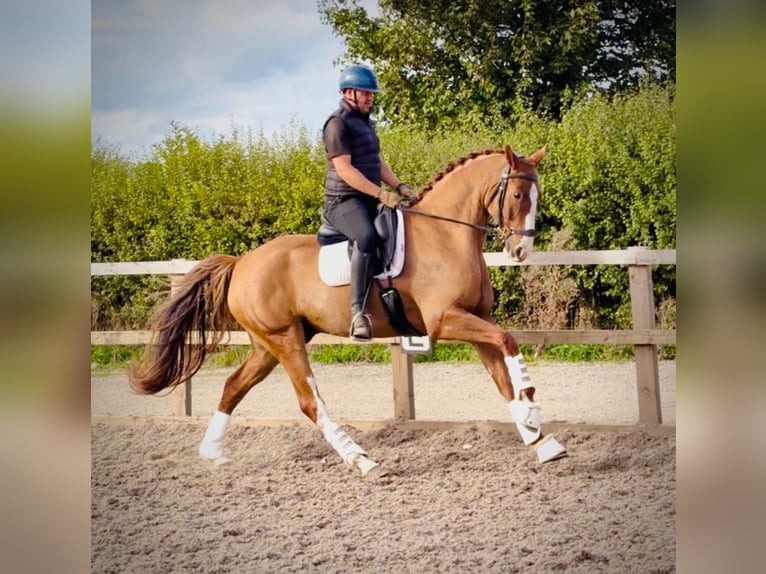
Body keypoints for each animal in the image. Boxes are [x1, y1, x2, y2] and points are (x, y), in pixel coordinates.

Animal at [128, 144, 567, 477]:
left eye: (537, 196)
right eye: (517, 196)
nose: (520, 251)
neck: (445, 233)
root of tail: (242, 263)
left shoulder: (478, 320)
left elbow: (502, 375)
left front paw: (540, 439)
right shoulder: (446, 321)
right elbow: (509, 343)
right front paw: (532, 407)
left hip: (268, 344)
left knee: (234, 385)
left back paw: (212, 452)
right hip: (284, 339)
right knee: (310, 403)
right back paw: (362, 460)